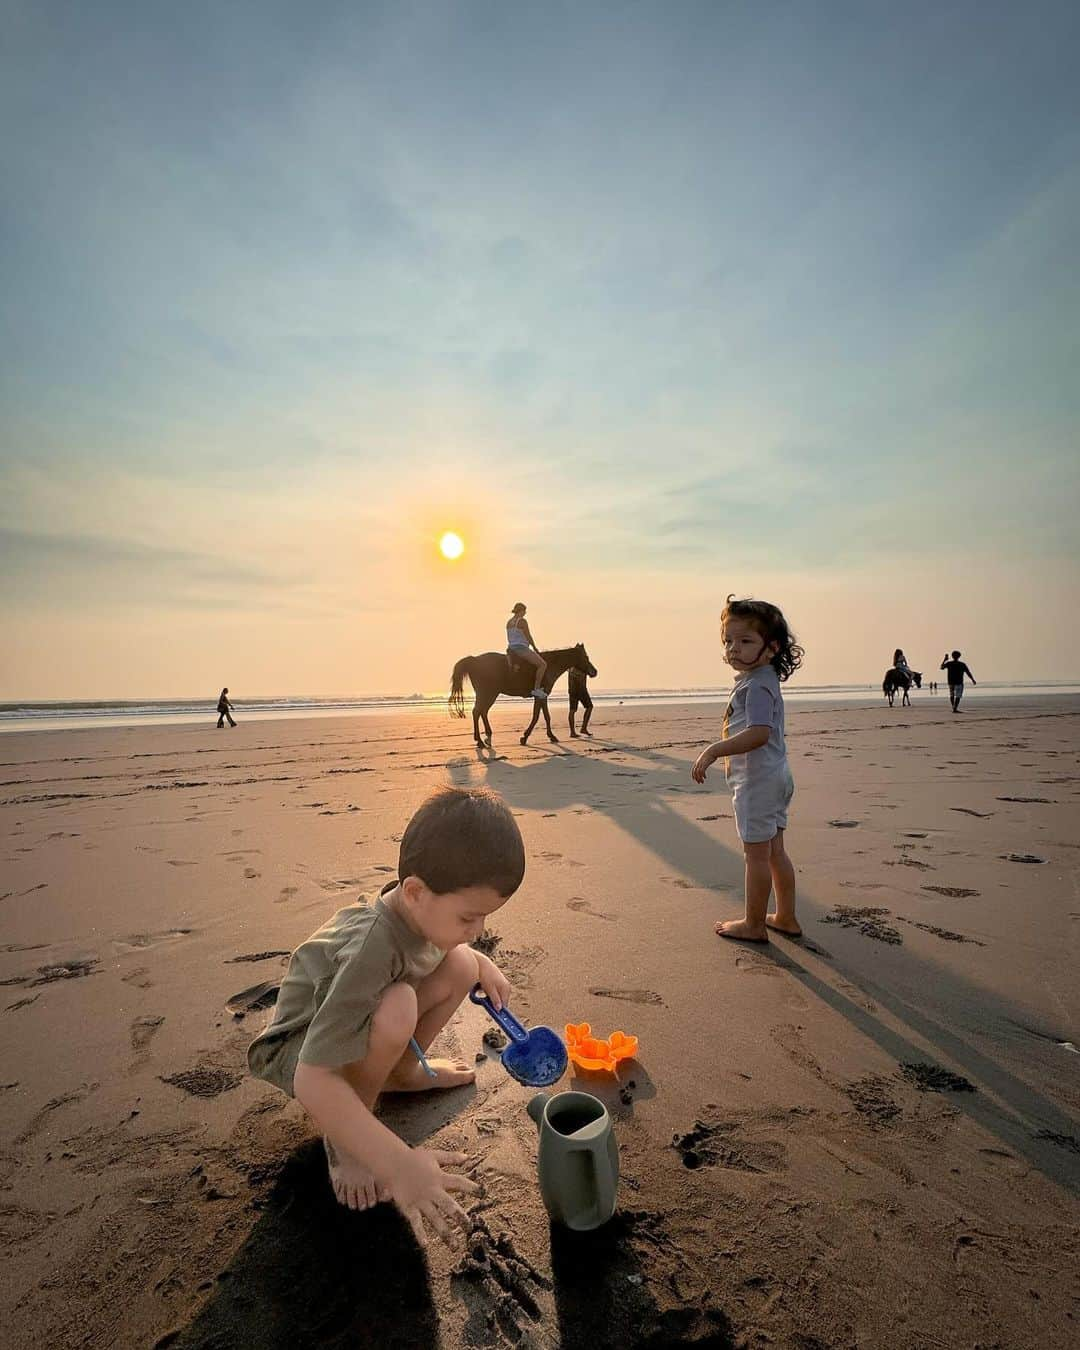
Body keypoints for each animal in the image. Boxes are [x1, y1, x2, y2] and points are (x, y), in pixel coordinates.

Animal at [448, 645, 599, 750]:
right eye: (585, 656)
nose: (594, 671)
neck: (549, 664)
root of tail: (474, 659)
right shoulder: (541, 696)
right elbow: (540, 716)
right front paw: (529, 737)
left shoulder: (541, 697)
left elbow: (542, 715)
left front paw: (543, 736)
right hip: (487, 693)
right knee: (477, 712)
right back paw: (480, 740)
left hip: (490, 694)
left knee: (482, 712)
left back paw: (487, 737)